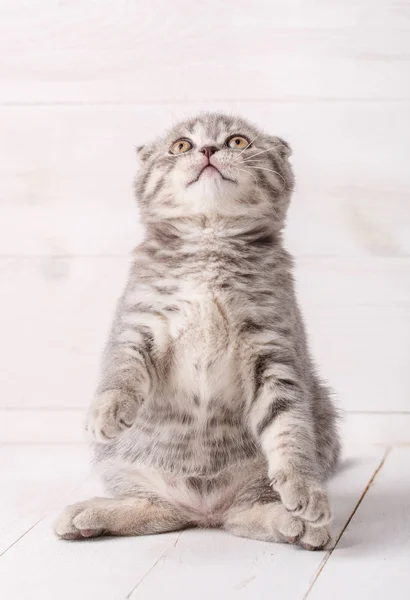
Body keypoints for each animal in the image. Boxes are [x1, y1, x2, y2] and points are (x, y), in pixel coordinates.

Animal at [56, 111, 342, 548]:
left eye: (237, 141)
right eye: (181, 146)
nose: (207, 149)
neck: (209, 245)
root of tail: (205, 511)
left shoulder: (273, 346)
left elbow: (289, 427)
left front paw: (303, 487)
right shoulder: (138, 323)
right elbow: (120, 370)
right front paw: (107, 409)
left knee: (245, 513)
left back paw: (297, 523)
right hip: (124, 469)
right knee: (157, 510)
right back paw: (89, 514)